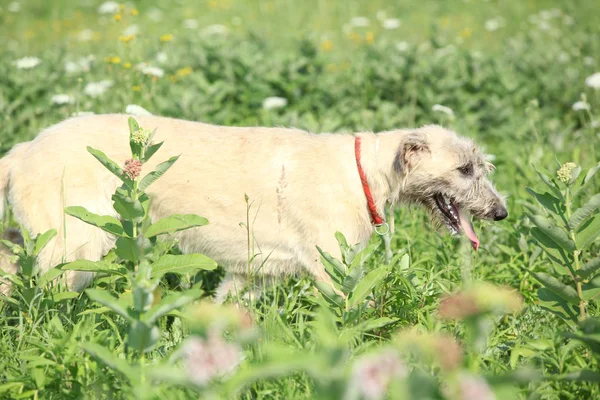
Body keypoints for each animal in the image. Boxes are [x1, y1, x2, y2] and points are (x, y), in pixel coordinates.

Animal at [0, 113, 506, 300]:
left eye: (481, 165)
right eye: (465, 169)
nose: (501, 213)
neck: (363, 171)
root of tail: (22, 150)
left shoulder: (252, 275)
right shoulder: (333, 269)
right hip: (72, 246)